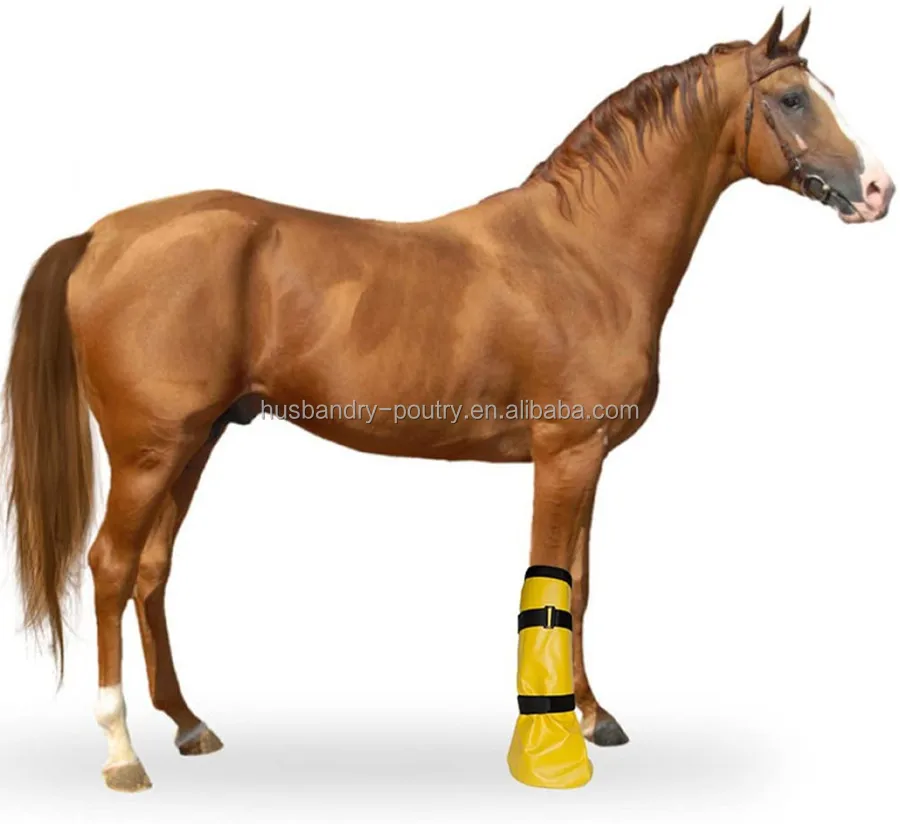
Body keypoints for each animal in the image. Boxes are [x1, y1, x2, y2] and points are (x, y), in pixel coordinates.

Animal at [3, 10, 893, 791]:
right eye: (792, 98)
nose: (878, 190)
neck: (582, 251)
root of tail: (100, 236)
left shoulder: (589, 461)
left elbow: (582, 584)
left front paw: (594, 714)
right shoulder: (563, 456)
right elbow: (551, 585)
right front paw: (554, 740)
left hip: (195, 444)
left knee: (151, 571)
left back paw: (189, 724)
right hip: (148, 452)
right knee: (111, 568)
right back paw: (122, 754)